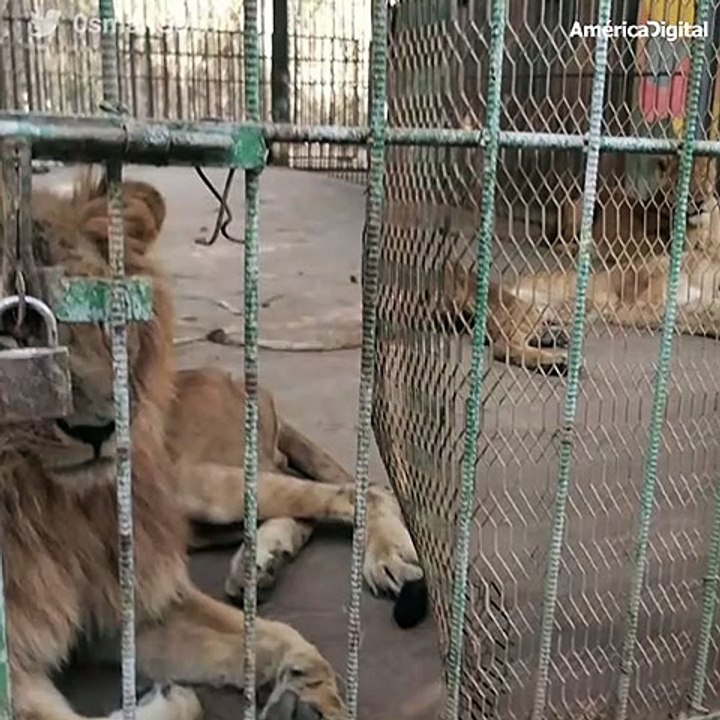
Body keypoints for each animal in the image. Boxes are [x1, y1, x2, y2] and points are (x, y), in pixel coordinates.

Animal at [0, 171, 429, 720]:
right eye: (12, 330)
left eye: (106, 318)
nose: (101, 428)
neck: (43, 503)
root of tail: (246, 384)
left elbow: (269, 634)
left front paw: (307, 693)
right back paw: (260, 564)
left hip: (199, 484)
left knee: (357, 492)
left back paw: (381, 554)